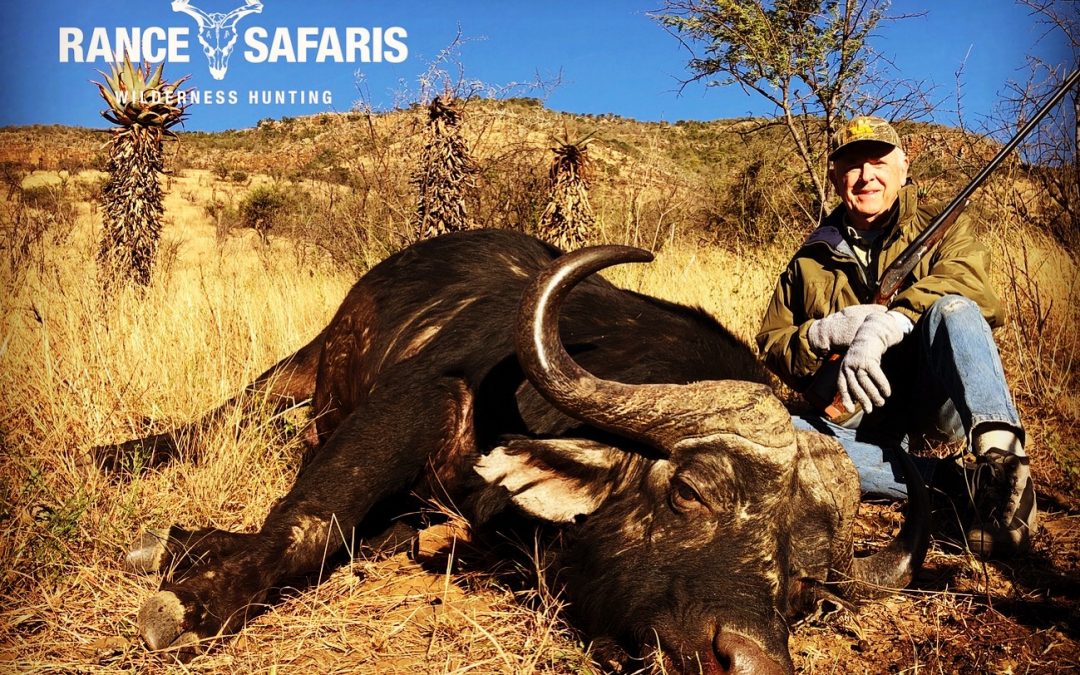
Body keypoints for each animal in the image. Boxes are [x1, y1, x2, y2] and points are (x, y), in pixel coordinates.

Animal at [97, 230, 927, 673]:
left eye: (803, 582)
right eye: (691, 490)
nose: (749, 658)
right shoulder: (426, 393)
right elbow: (311, 522)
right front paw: (191, 596)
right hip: (301, 364)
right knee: (225, 415)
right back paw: (123, 452)